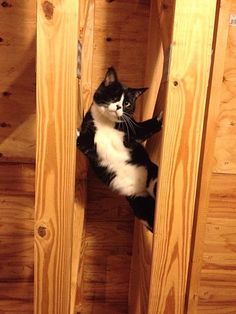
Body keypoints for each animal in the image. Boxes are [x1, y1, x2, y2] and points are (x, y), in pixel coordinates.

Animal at [77, 67, 162, 232]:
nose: (118, 107)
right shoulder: (88, 139)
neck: (107, 123)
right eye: (114, 96)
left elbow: (145, 127)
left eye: (127, 103)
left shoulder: (132, 132)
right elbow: (82, 141)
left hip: (153, 177)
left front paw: (161, 117)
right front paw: (77, 133)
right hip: (140, 203)